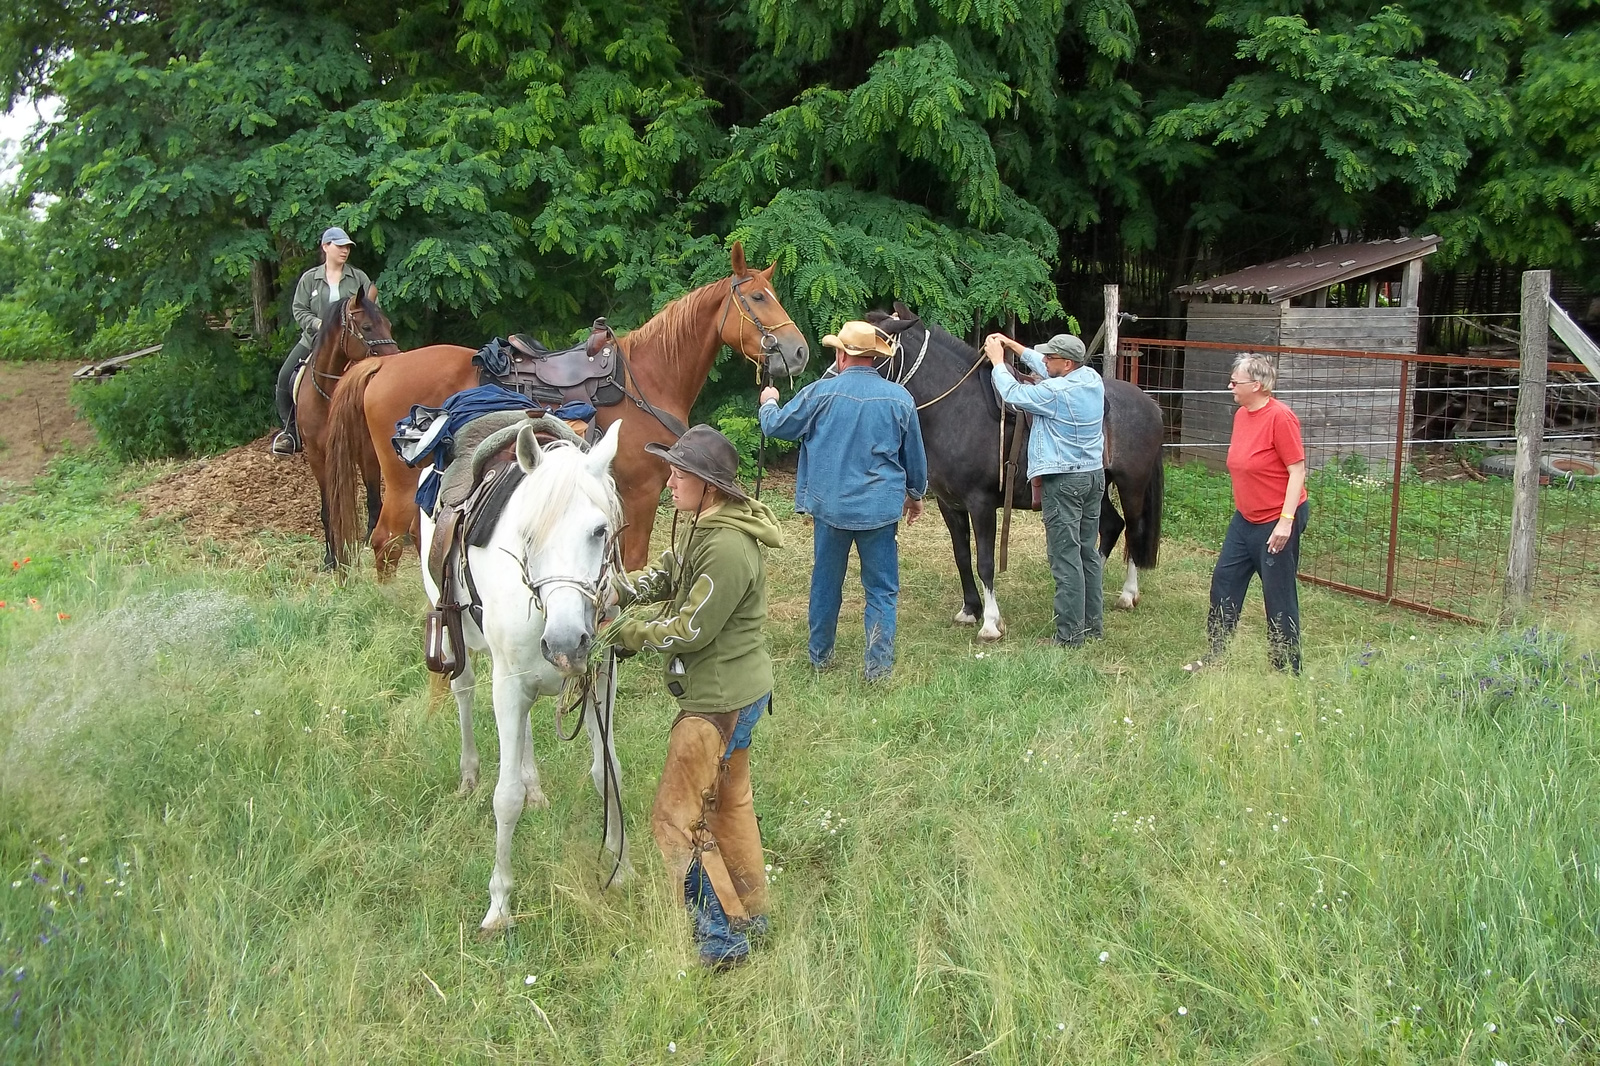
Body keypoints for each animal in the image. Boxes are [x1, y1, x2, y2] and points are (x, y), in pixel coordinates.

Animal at [294, 281, 396, 563]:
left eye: (389, 324)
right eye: (367, 327)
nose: (397, 358)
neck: (329, 395)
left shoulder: (366, 451)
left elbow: (374, 502)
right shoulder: (318, 457)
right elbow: (328, 509)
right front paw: (331, 557)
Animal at [331, 243, 819, 573]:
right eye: (757, 298)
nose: (798, 352)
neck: (648, 378)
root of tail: (383, 364)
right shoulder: (642, 490)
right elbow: (634, 557)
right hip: (400, 480)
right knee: (386, 540)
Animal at [422, 416, 627, 928]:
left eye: (600, 530)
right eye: (527, 536)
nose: (566, 642)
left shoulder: (601, 680)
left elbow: (607, 770)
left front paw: (620, 867)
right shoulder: (508, 685)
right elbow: (505, 796)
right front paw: (499, 904)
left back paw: (535, 786)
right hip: (458, 640)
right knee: (464, 691)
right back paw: (469, 775)